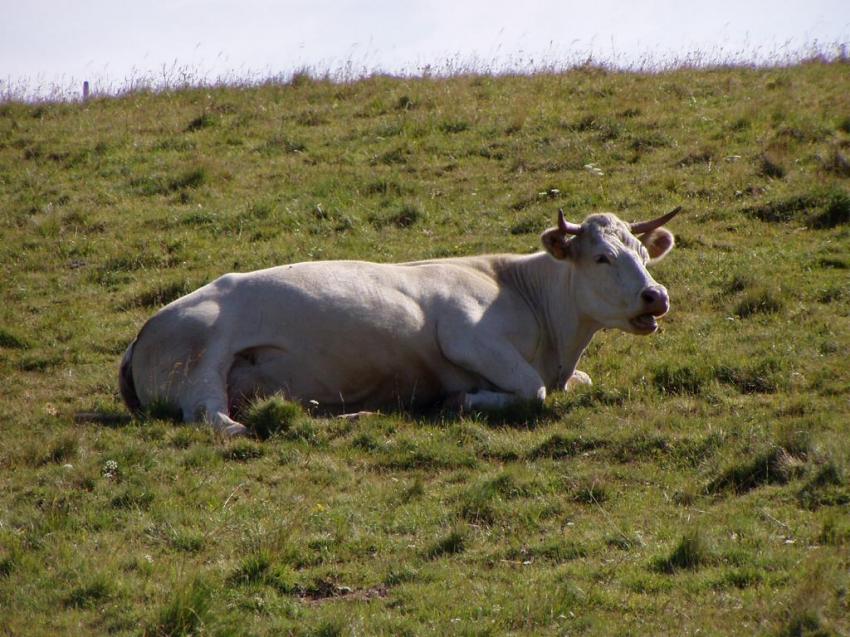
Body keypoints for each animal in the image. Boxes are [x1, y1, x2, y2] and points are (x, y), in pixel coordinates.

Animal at [119, 207, 679, 435]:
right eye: (602, 257)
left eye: (642, 256)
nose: (656, 296)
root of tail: (144, 332)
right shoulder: (465, 334)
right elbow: (532, 391)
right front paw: (460, 402)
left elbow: (579, 383)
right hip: (203, 360)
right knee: (218, 421)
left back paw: (351, 416)